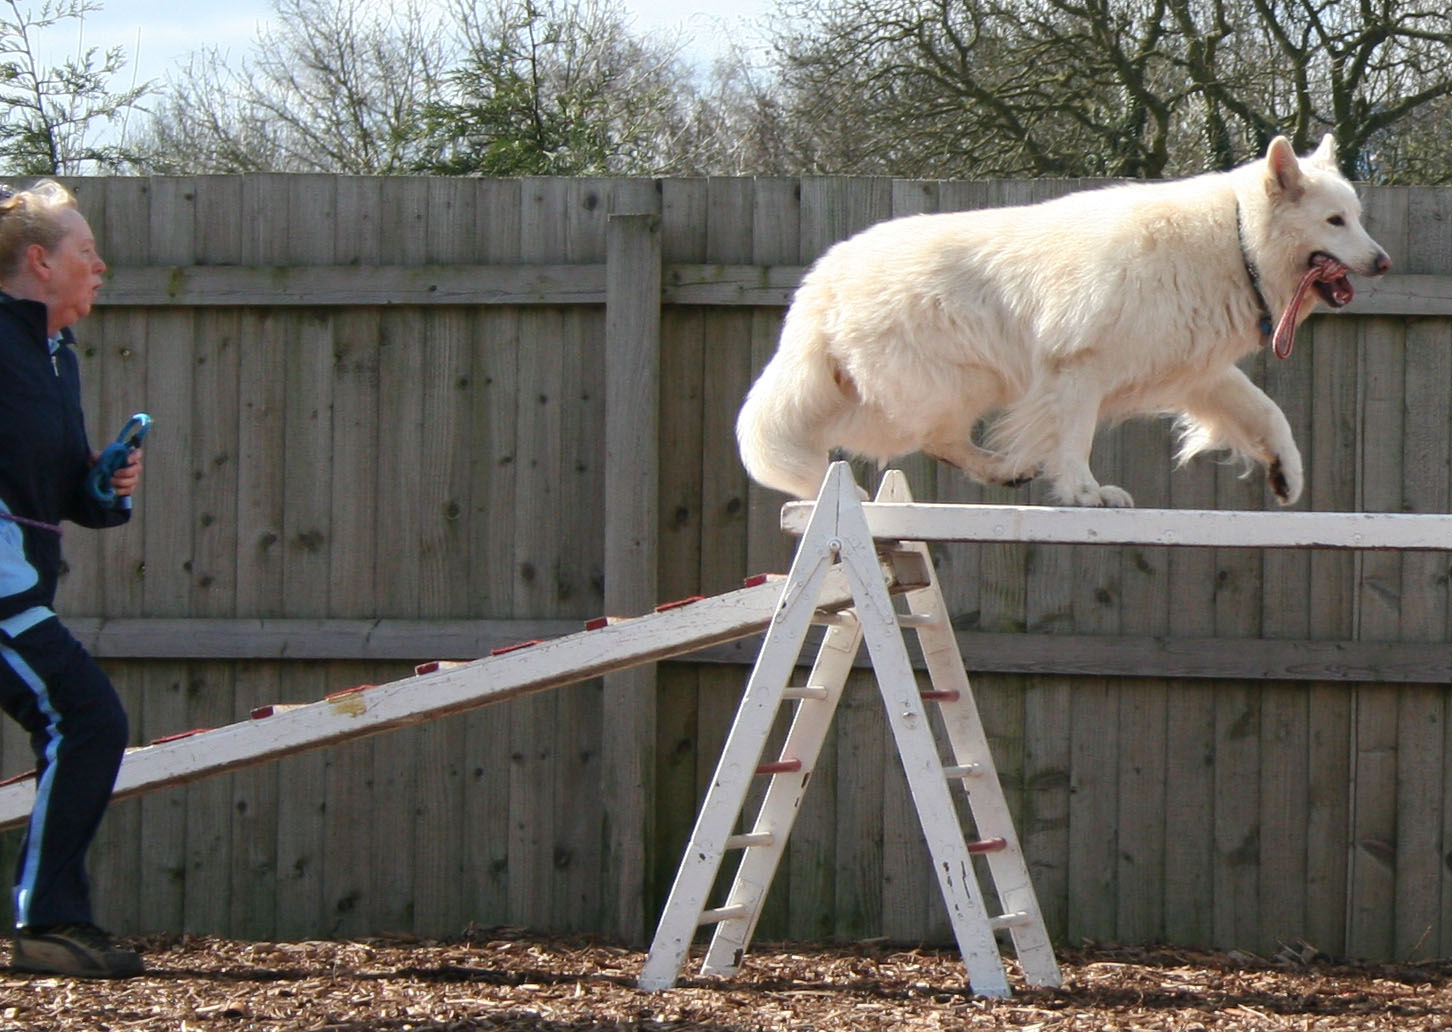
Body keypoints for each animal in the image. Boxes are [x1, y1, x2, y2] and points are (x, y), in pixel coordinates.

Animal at [743, 137, 1388, 508]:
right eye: (1334, 221)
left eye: (1357, 217)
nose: (1383, 262)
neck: (1236, 241)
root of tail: (822, 278)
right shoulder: (1077, 371)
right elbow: (1075, 439)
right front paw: (1083, 491)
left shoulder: (1199, 376)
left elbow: (1267, 414)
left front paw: (1287, 473)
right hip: (949, 386)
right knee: (881, 438)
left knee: (929, 441)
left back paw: (1002, 470)